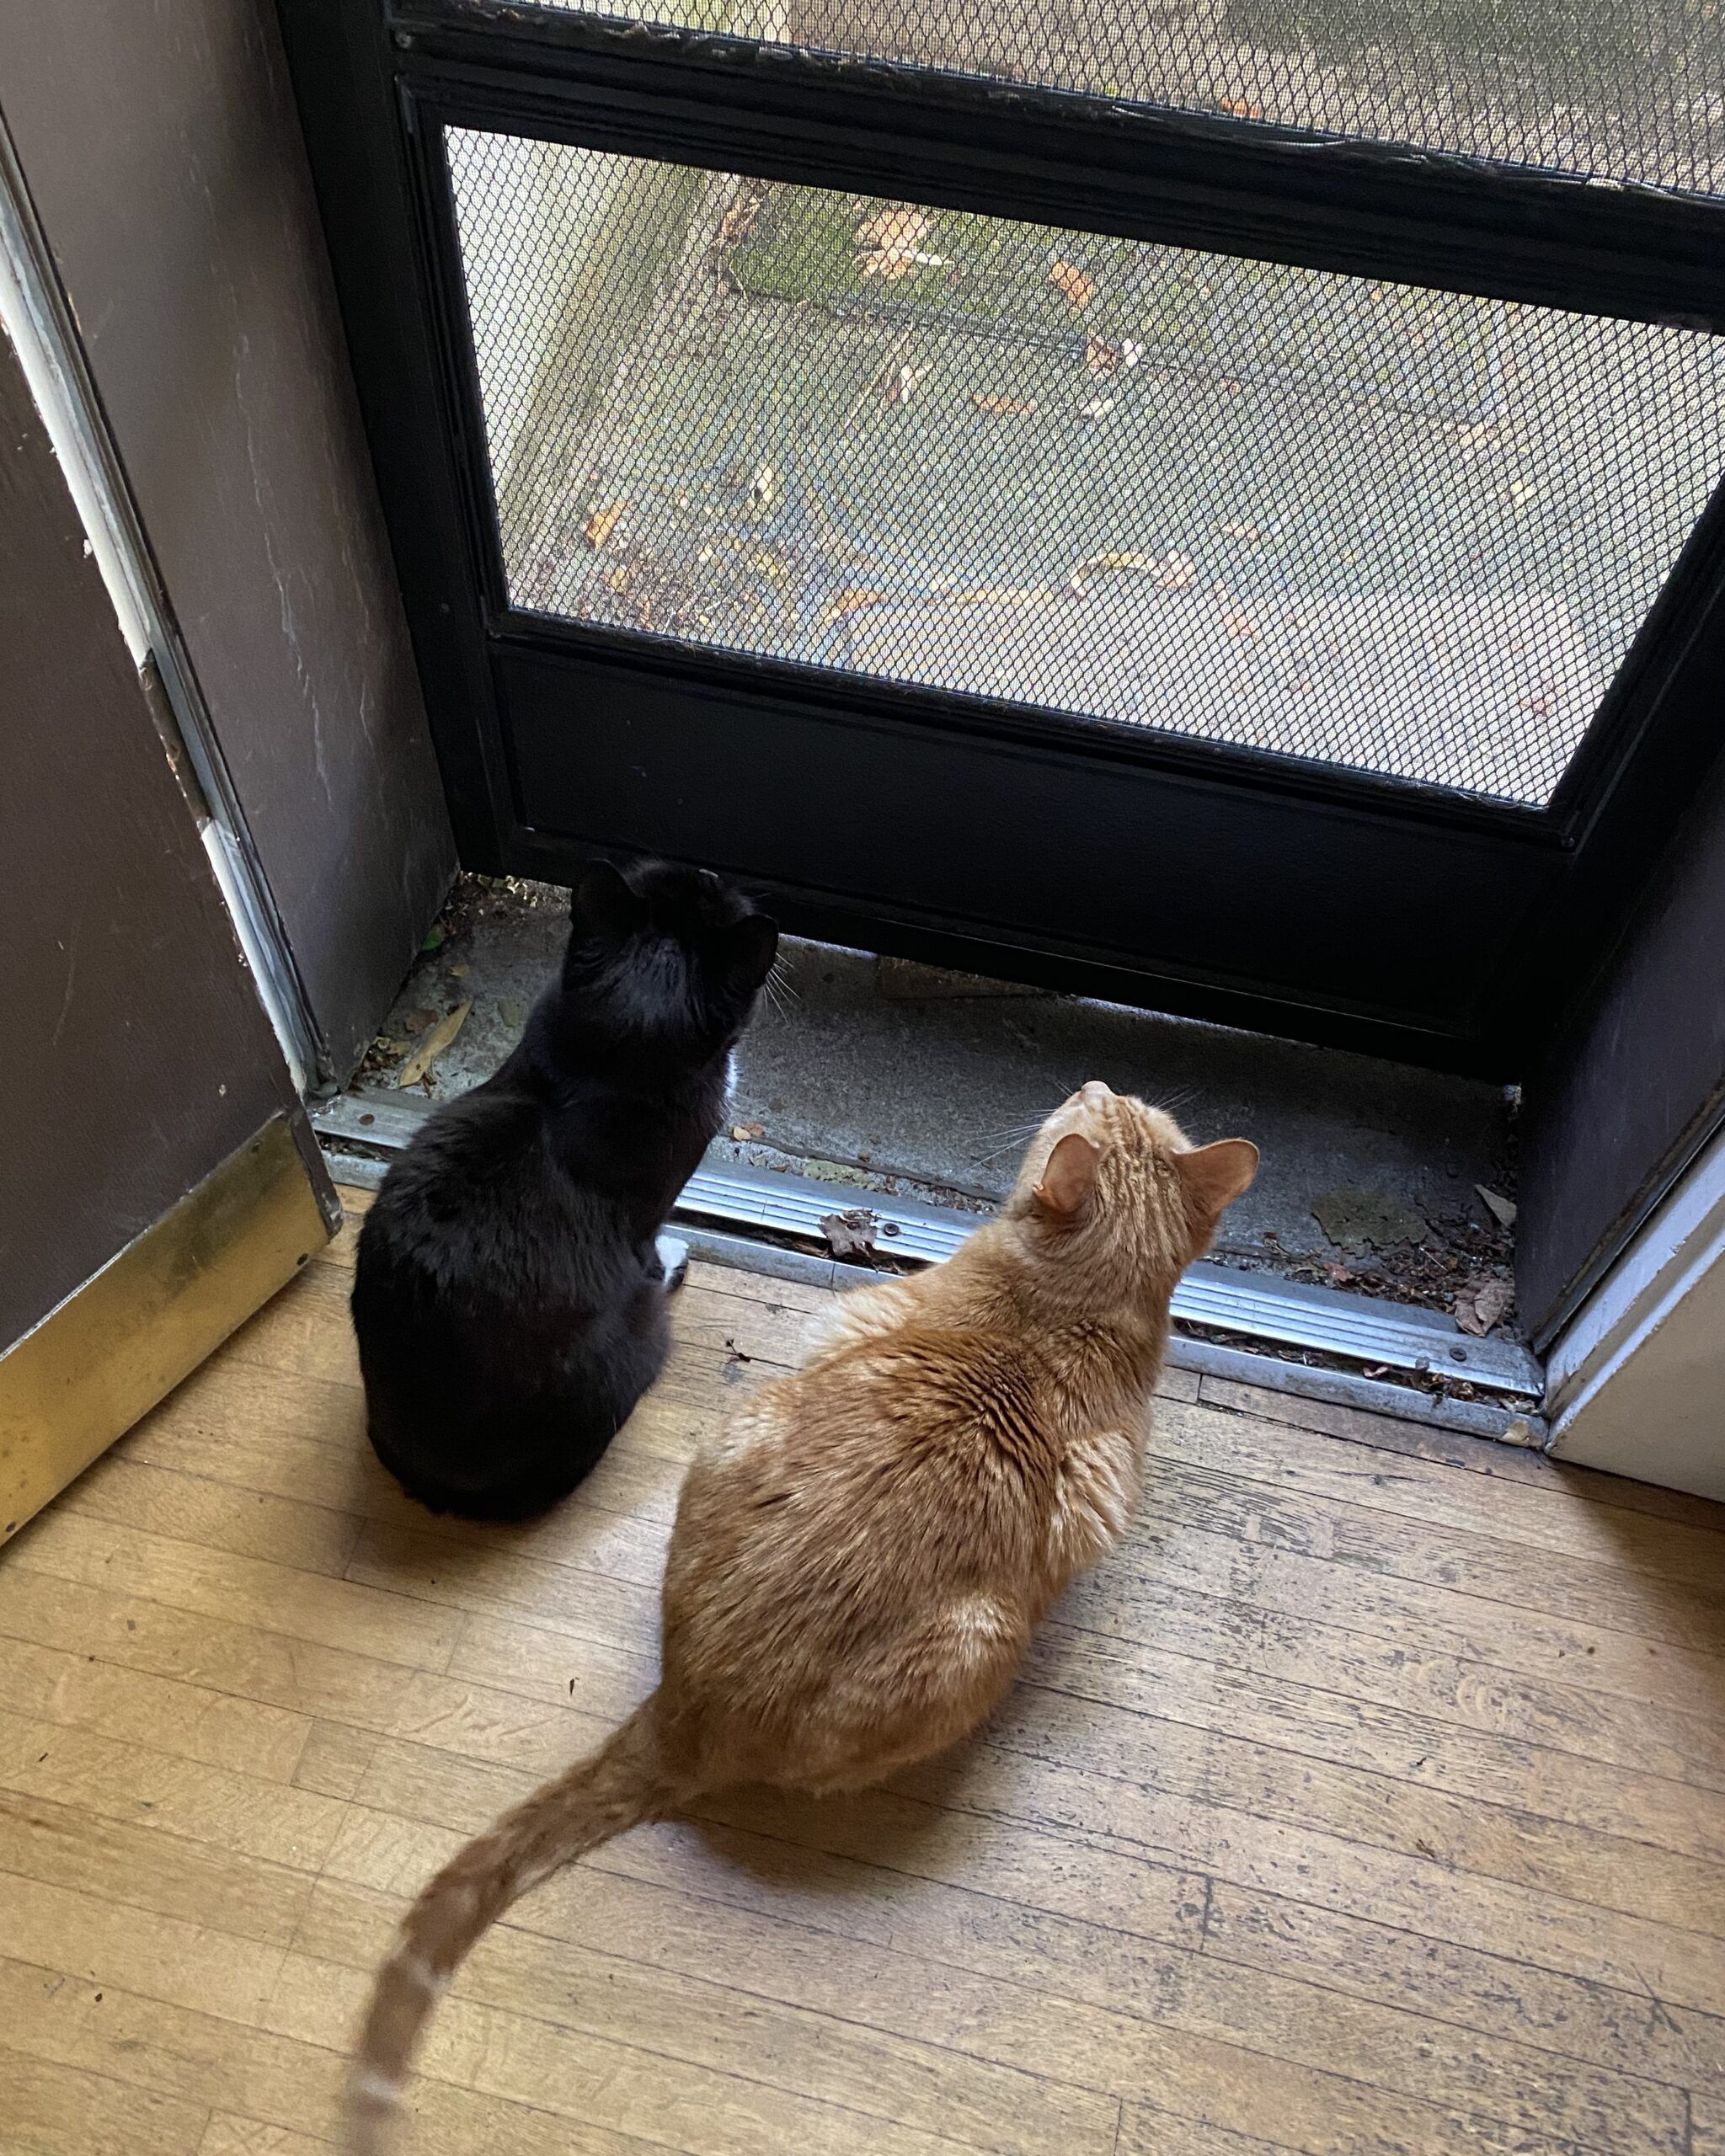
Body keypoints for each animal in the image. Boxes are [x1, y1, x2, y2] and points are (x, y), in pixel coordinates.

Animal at [349, 857, 776, 1518]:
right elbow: (653, 1249)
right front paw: (674, 1255)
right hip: (638, 1339)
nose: (706, 868)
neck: (614, 1065)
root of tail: (440, 1483)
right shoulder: (649, 1213)